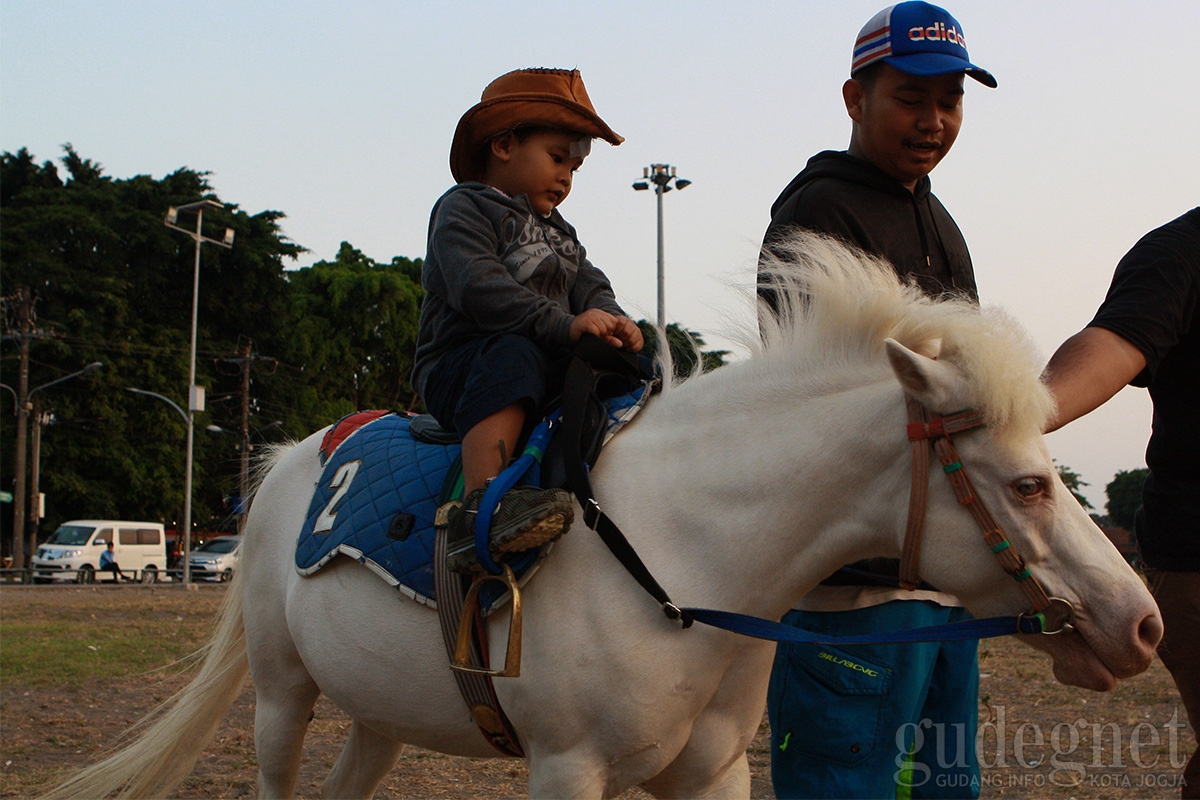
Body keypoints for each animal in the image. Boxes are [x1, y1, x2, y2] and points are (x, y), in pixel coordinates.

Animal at [49, 232, 1161, 800]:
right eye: (1026, 483)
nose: (1143, 622)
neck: (686, 555)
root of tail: (289, 462)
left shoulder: (707, 775)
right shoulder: (567, 769)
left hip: (374, 711)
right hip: (283, 697)